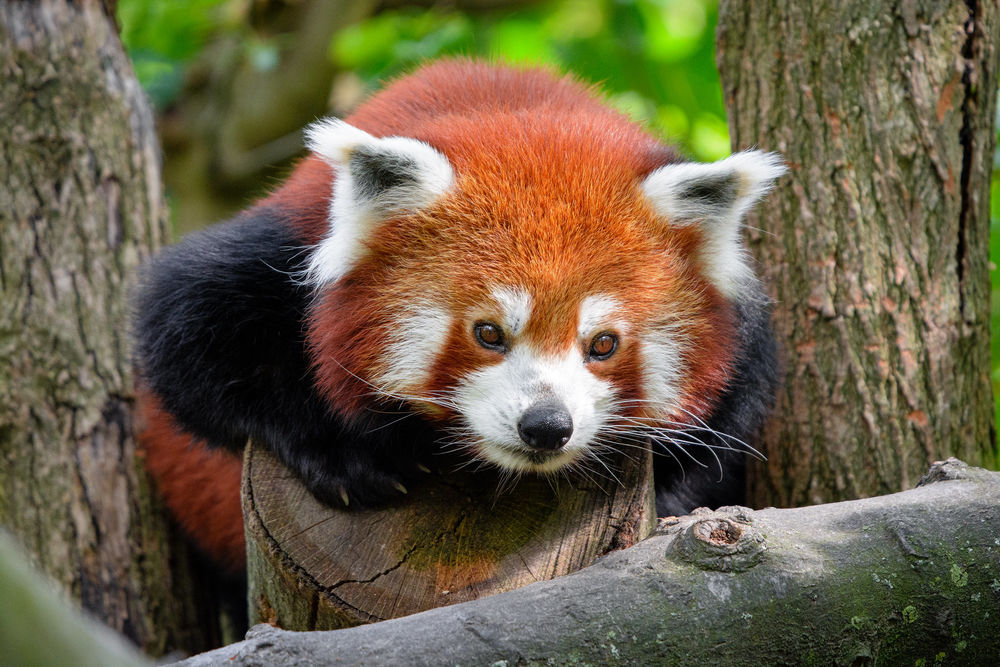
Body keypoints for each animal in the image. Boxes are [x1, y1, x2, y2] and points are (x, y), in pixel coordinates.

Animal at [137, 60, 784, 572]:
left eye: (603, 344)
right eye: (488, 332)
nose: (546, 426)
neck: (511, 108)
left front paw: (676, 493)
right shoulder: (283, 246)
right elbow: (183, 338)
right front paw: (344, 454)